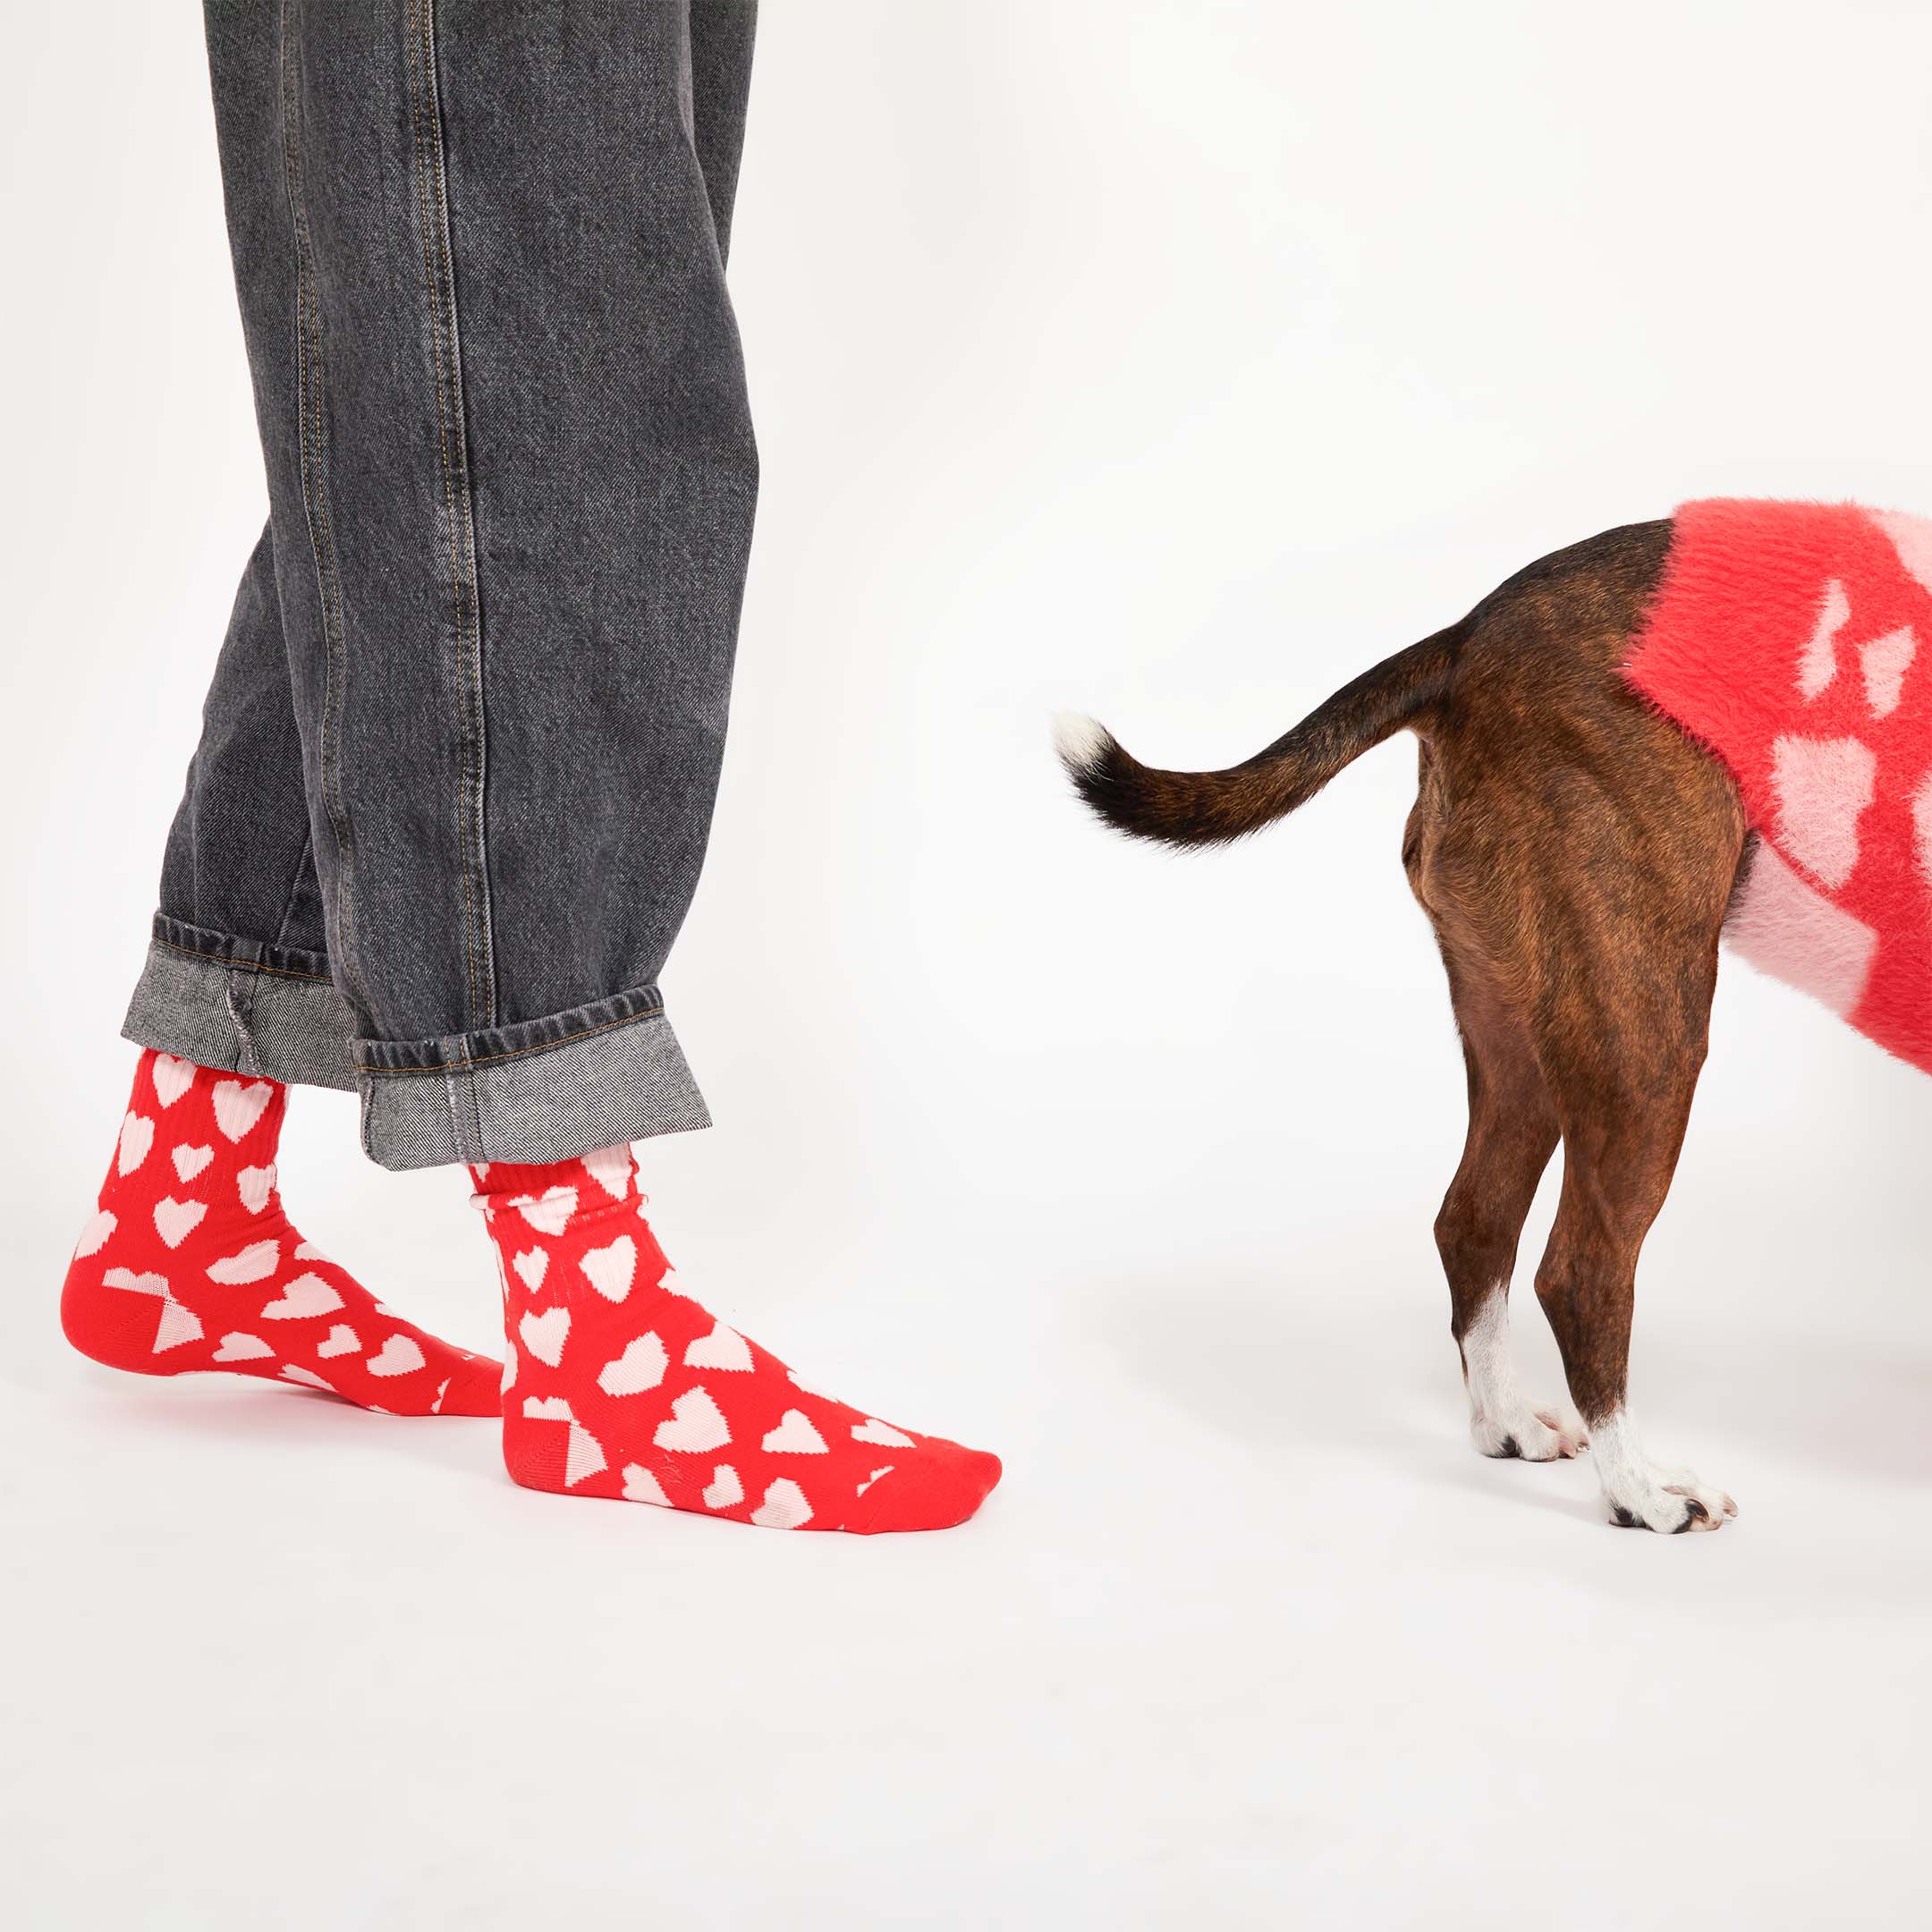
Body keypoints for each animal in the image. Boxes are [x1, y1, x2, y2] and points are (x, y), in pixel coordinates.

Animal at [1058, 517, 1754, 1538]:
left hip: (1525, 1026)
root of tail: (1466, 643)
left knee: (1473, 1221)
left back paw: (1507, 1424)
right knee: (1580, 1270)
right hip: (1648, 1026)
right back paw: (1641, 1490)